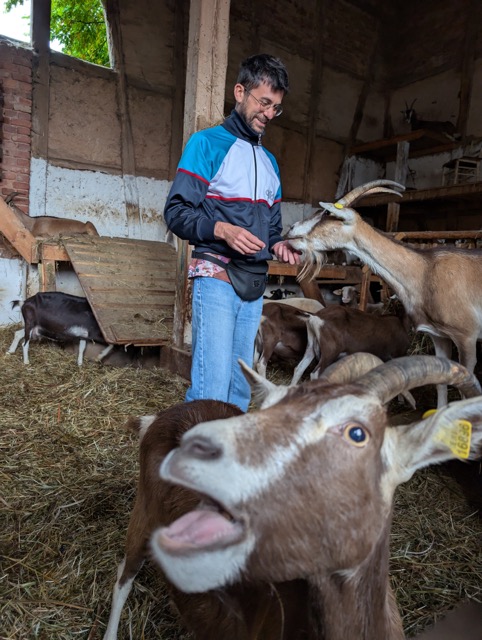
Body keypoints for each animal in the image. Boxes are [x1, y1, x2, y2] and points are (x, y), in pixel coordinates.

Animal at [286, 179, 482, 407]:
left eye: (328, 214)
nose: (291, 230)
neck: (426, 271)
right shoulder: (438, 335)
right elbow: (442, 381)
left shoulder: (466, 336)